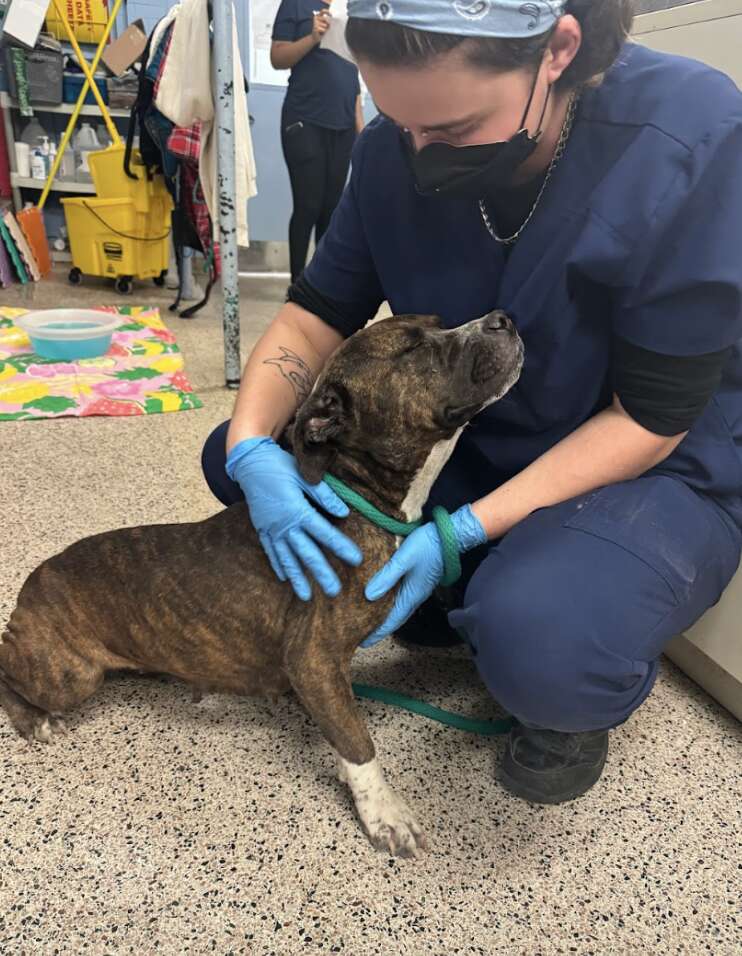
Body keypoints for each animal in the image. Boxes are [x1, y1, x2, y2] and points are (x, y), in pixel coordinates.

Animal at [1, 314, 524, 860]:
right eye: (411, 348)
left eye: (439, 325)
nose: (502, 319)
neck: (356, 497)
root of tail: (29, 589)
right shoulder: (313, 660)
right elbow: (360, 743)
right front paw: (383, 812)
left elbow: (343, 726)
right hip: (69, 675)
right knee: (5, 665)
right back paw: (33, 719)